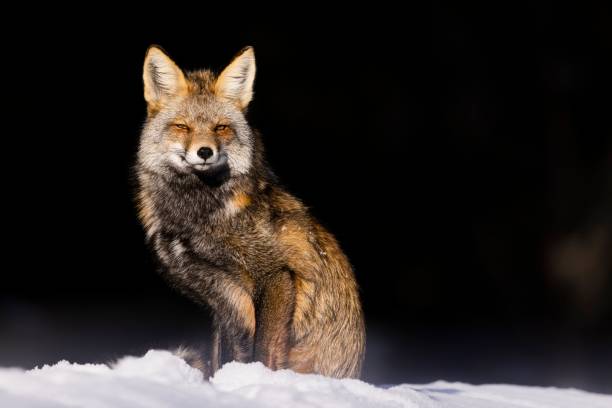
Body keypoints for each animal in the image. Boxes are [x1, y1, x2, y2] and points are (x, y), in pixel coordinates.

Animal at [135, 45, 364, 380]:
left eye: (221, 128)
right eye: (182, 127)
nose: (205, 152)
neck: (200, 218)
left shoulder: (277, 275)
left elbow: (263, 353)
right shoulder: (223, 300)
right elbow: (222, 356)